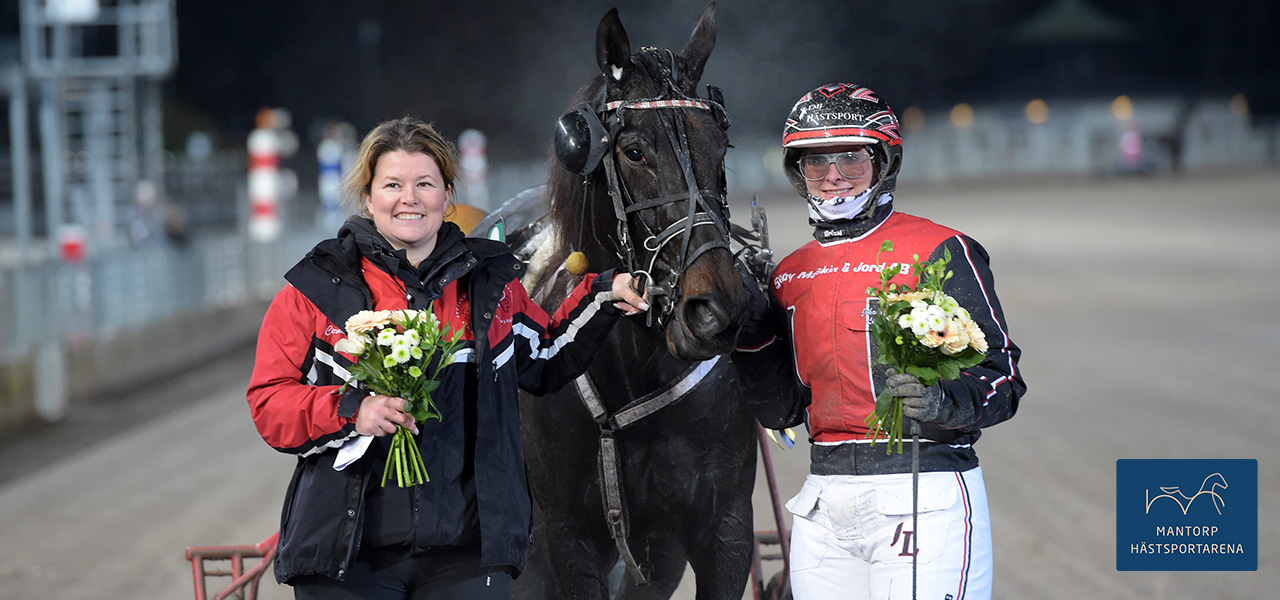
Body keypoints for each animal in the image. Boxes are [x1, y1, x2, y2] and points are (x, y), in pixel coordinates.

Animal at [481, 5, 762, 598]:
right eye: (634, 151)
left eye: (720, 148)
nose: (714, 311)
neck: (636, 369)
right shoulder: (568, 538)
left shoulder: (721, 530)